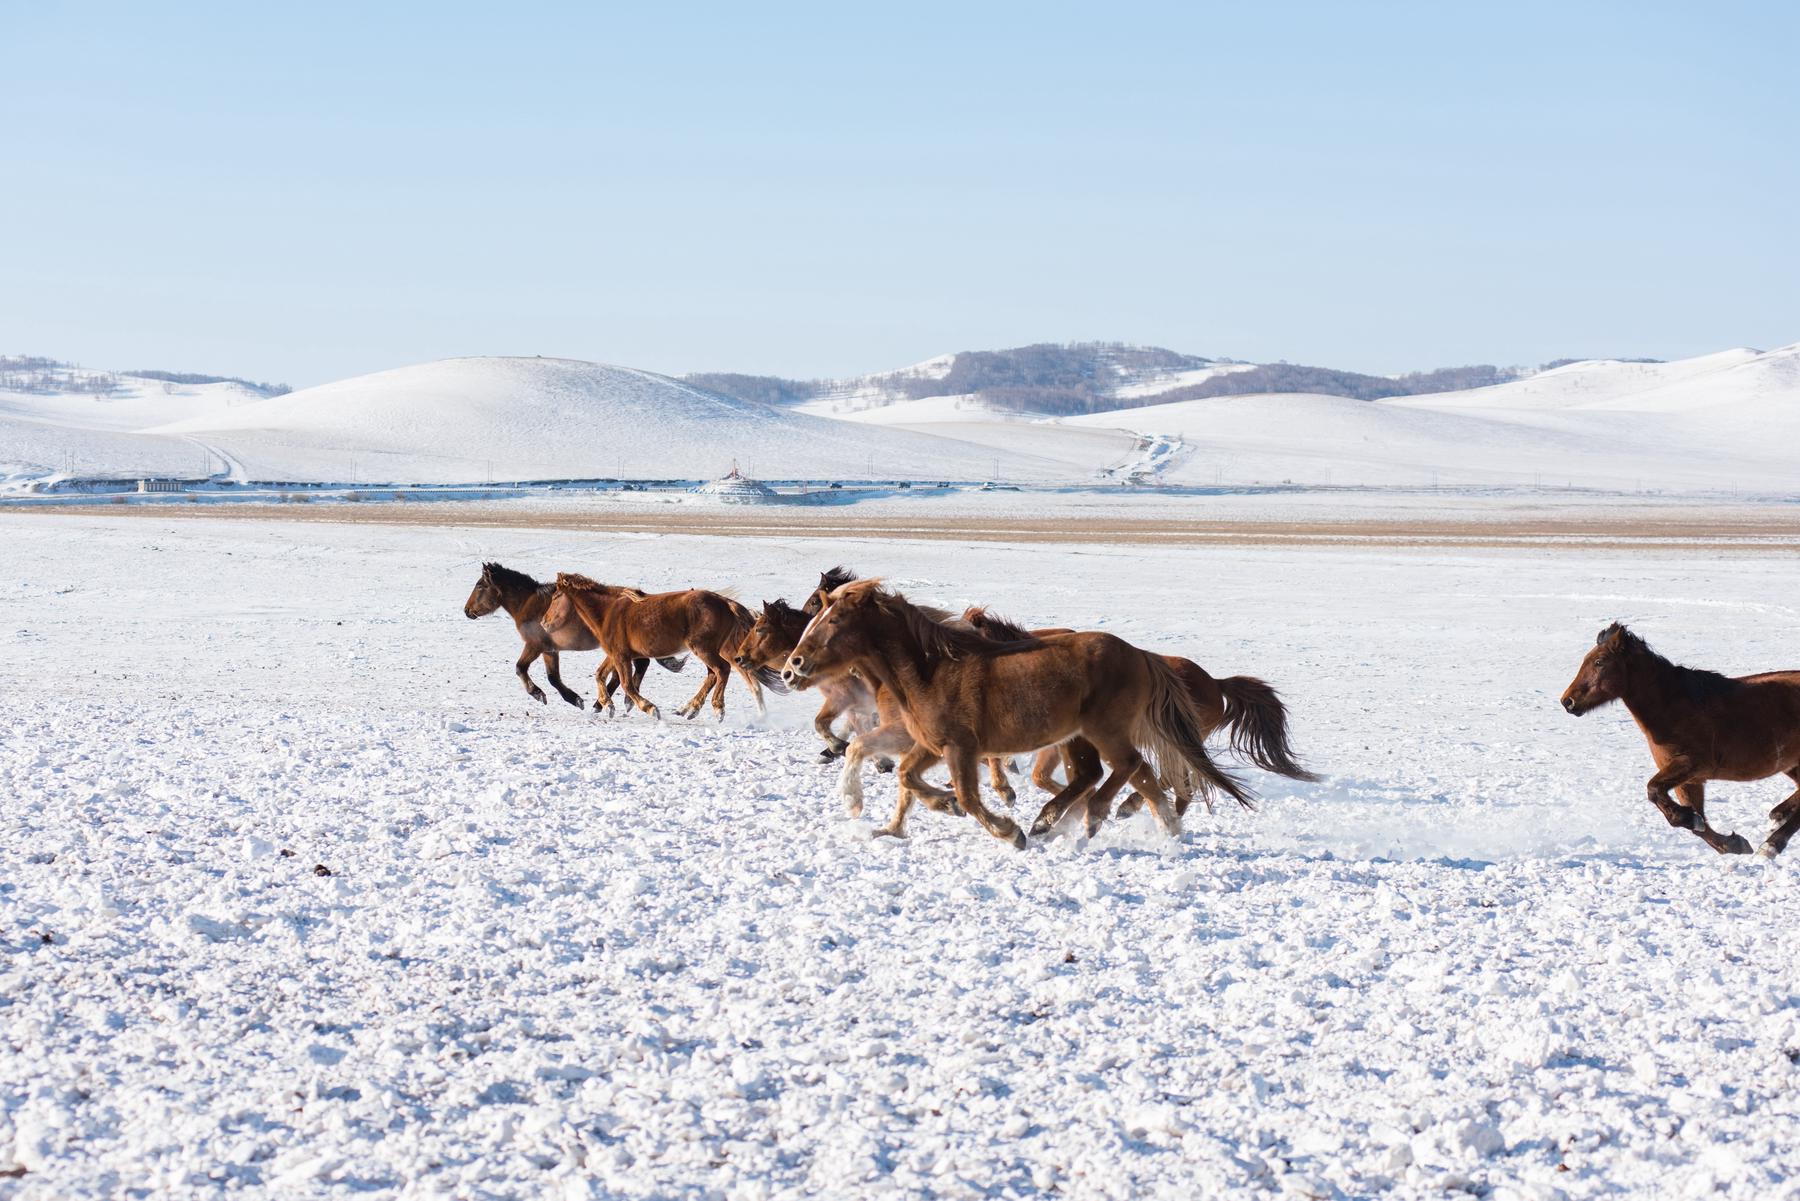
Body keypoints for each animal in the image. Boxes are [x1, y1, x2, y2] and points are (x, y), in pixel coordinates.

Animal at [460, 561, 684, 705]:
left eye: (480, 585)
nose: (467, 611)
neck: (529, 604)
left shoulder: (535, 645)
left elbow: (521, 668)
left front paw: (539, 694)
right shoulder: (550, 650)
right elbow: (553, 677)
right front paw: (573, 698)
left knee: (635, 667)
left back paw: (609, 703)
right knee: (636, 667)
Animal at [788, 579, 1252, 846]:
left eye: (835, 619)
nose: (793, 667)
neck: (930, 671)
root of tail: (1142, 655)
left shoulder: (959, 747)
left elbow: (967, 796)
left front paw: (1009, 832)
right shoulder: (933, 745)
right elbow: (906, 777)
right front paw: (919, 814)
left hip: (1105, 730)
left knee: (1128, 768)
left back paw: (1081, 819)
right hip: (1081, 737)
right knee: (1127, 778)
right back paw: (1150, 830)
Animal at [1562, 626, 1800, 860]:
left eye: (1599, 662)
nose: (1567, 701)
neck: (1674, 709)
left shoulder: (1691, 765)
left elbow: (1654, 790)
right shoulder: (1689, 781)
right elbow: (1696, 825)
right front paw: (1733, 843)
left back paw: (1770, 846)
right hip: (1790, 764)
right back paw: (1777, 816)